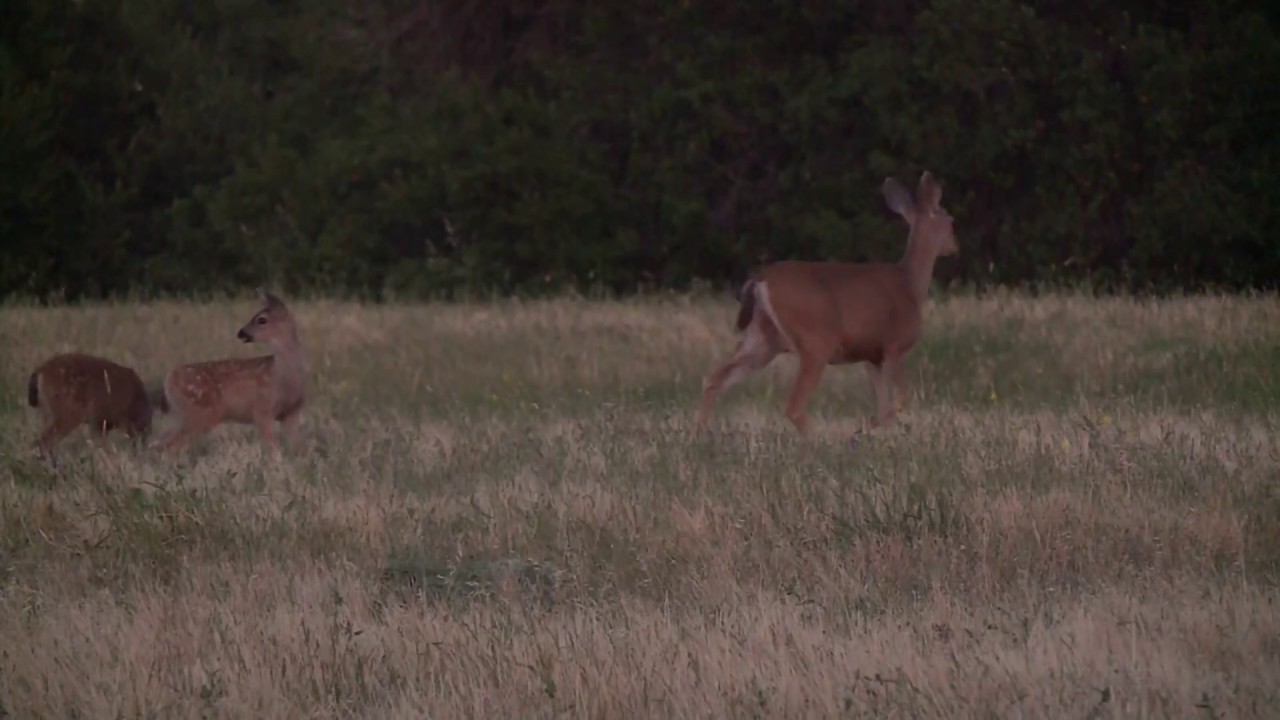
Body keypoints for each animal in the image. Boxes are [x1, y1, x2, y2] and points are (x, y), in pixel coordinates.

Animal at [151, 288, 307, 454]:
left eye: (261, 319)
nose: (241, 333)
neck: (283, 378)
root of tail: (169, 378)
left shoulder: (292, 413)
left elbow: (298, 447)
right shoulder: (261, 410)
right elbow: (273, 447)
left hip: (185, 415)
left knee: (160, 442)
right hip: (198, 414)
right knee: (170, 444)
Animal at [694, 170, 959, 440]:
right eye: (950, 220)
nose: (955, 246)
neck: (910, 284)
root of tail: (761, 279)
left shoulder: (871, 356)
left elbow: (884, 411)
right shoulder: (895, 346)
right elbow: (901, 402)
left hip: (764, 338)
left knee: (713, 379)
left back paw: (700, 435)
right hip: (815, 341)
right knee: (794, 406)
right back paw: (821, 441)